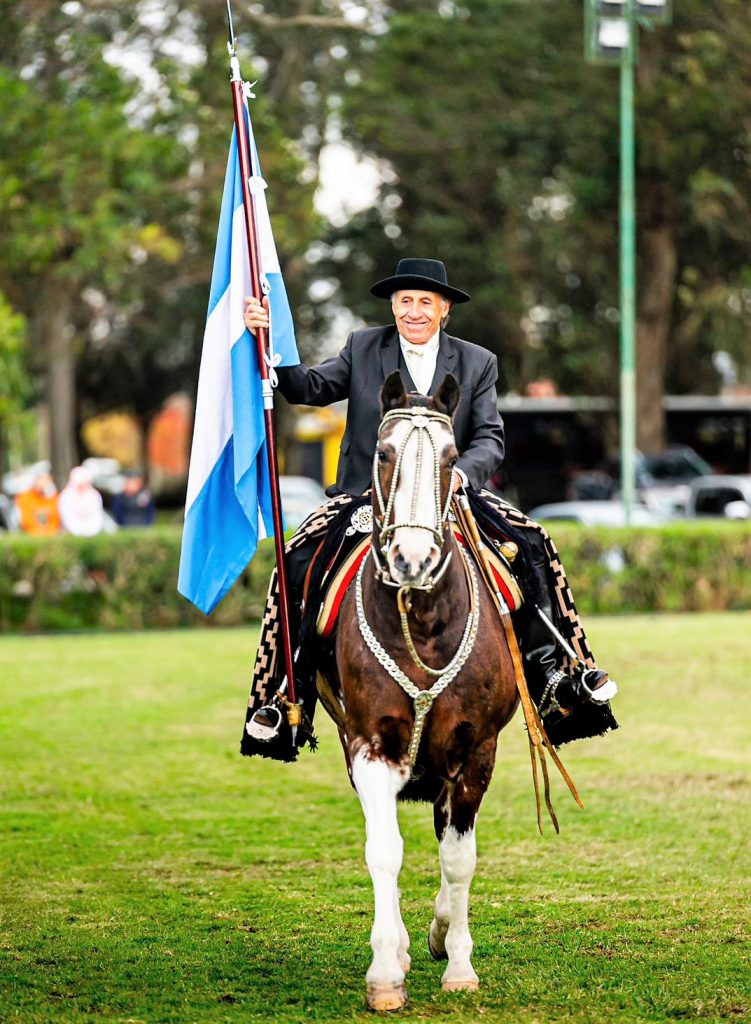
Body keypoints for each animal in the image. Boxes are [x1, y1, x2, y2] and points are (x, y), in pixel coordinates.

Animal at [336, 372, 520, 1011]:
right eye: (383, 453)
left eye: (451, 458)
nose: (411, 560)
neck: (422, 619)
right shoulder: (369, 747)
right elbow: (384, 850)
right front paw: (386, 971)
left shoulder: (476, 750)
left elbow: (458, 857)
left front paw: (460, 964)